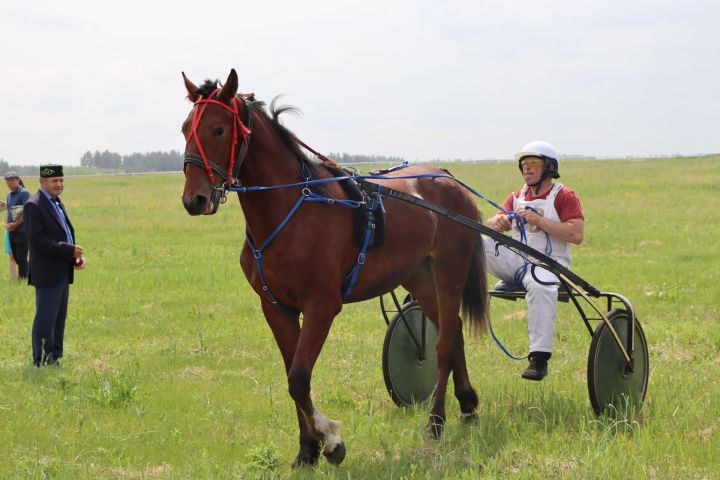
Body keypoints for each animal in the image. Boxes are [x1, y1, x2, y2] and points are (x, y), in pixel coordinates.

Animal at [181, 69, 490, 466]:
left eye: (218, 129)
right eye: (185, 128)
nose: (195, 198)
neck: (290, 209)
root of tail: (448, 178)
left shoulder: (321, 305)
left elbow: (298, 378)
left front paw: (331, 442)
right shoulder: (277, 308)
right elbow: (293, 377)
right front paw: (306, 450)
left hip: (449, 271)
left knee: (445, 341)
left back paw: (436, 421)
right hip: (418, 275)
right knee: (454, 332)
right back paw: (467, 405)